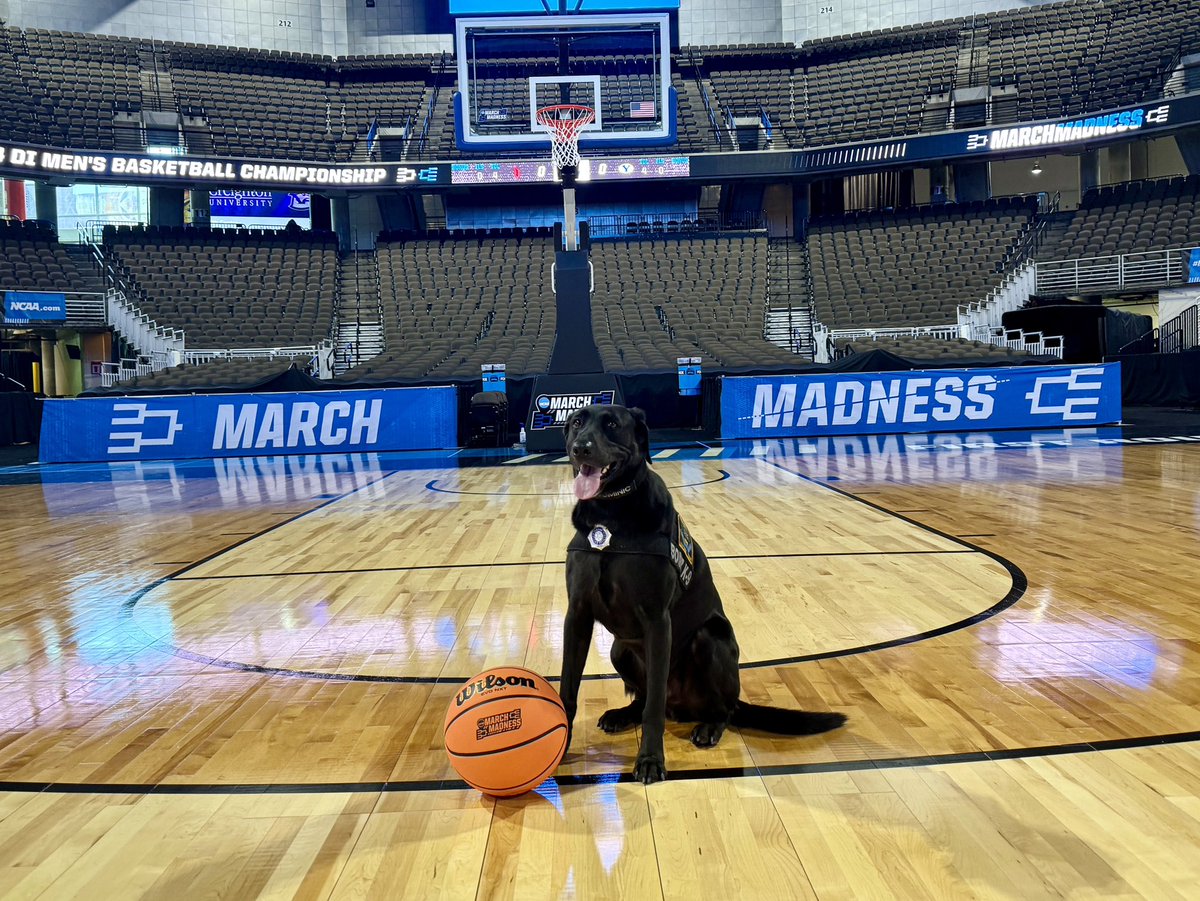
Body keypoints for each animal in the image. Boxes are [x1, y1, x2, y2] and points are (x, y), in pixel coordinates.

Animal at [559, 405, 849, 787]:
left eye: (611, 424)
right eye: (577, 422)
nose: (581, 448)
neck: (608, 521)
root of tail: (680, 706)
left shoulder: (656, 621)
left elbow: (653, 710)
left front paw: (650, 760)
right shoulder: (577, 616)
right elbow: (568, 689)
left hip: (711, 639)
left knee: (716, 708)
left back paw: (710, 727)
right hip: (620, 650)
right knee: (644, 696)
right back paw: (623, 715)